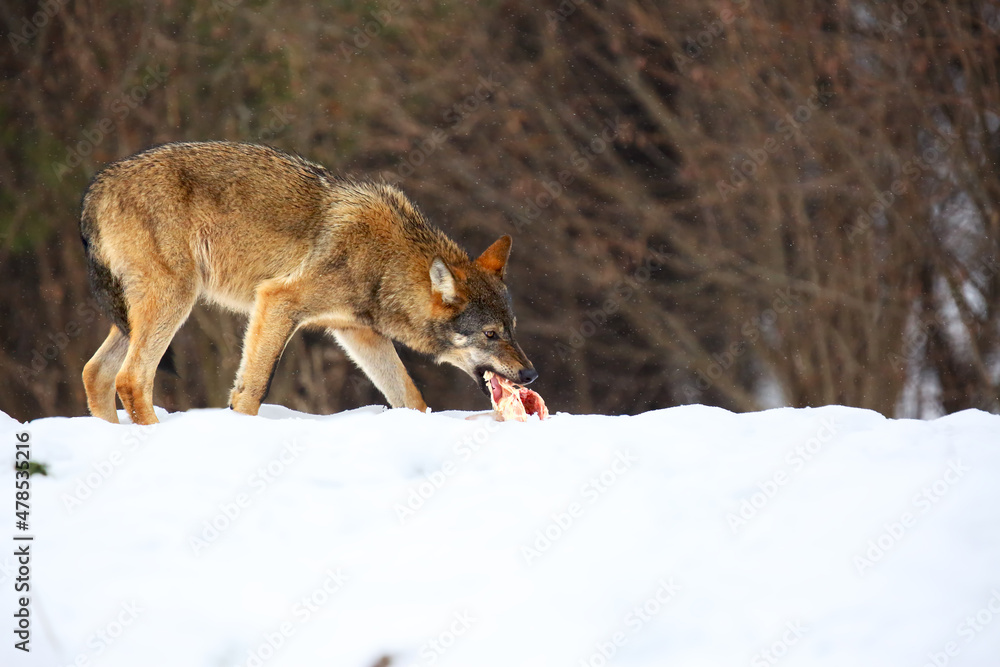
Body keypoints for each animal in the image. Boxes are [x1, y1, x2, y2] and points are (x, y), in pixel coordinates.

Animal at [80, 141, 537, 425]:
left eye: (512, 328)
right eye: (490, 334)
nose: (530, 374)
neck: (385, 260)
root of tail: (99, 183)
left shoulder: (357, 333)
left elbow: (412, 399)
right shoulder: (277, 300)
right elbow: (252, 390)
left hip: (139, 314)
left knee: (95, 373)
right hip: (175, 301)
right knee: (131, 379)